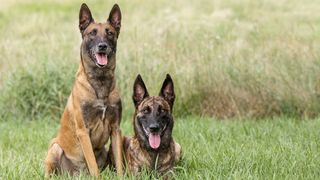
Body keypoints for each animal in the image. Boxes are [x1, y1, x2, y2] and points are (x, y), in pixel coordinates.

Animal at [45, 2, 124, 177]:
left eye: (110, 33)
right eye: (92, 33)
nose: (102, 46)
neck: (100, 81)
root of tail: (75, 174)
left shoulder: (116, 129)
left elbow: (119, 163)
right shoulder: (83, 131)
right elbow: (93, 166)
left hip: (103, 151)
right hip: (54, 147)